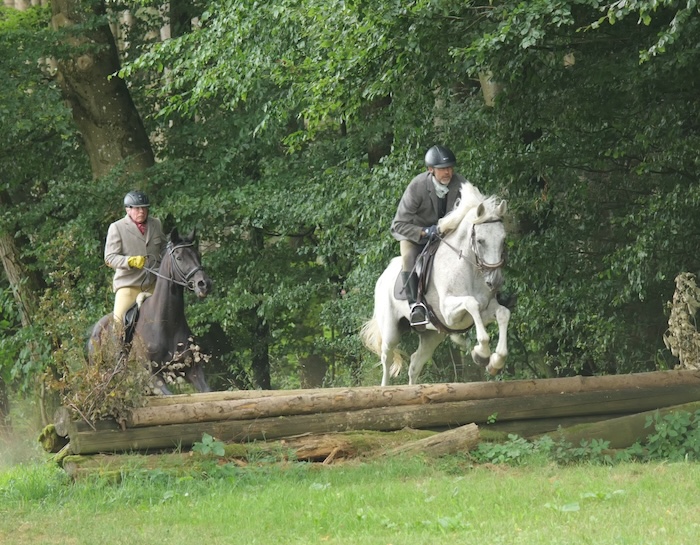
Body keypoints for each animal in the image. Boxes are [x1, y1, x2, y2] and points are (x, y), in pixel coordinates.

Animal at [88, 228, 213, 395]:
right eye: (179, 257)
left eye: (198, 255)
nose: (204, 284)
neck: (167, 323)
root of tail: (94, 331)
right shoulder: (152, 375)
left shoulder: (192, 369)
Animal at [361, 182, 510, 385]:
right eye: (480, 241)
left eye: (503, 240)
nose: (495, 281)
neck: (470, 269)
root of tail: (383, 276)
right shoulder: (449, 312)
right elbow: (472, 303)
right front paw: (481, 354)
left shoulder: (485, 309)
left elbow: (503, 313)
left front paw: (495, 361)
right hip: (391, 330)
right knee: (387, 358)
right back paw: (385, 388)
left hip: (432, 334)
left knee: (415, 363)